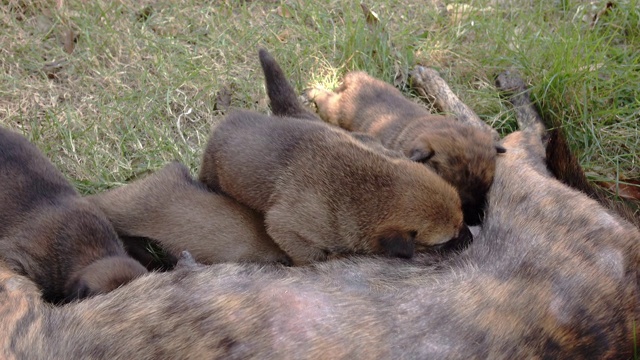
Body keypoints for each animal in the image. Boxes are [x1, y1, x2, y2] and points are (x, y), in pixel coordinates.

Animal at [199, 54, 464, 264]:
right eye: (443, 242)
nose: (470, 237)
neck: (375, 190)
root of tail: (230, 119)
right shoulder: (286, 227)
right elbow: (311, 256)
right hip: (212, 173)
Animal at [308, 72, 508, 225]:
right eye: (460, 199)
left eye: (485, 192)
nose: (475, 221)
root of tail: (356, 78)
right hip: (334, 111)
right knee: (326, 99)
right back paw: (312, 91)